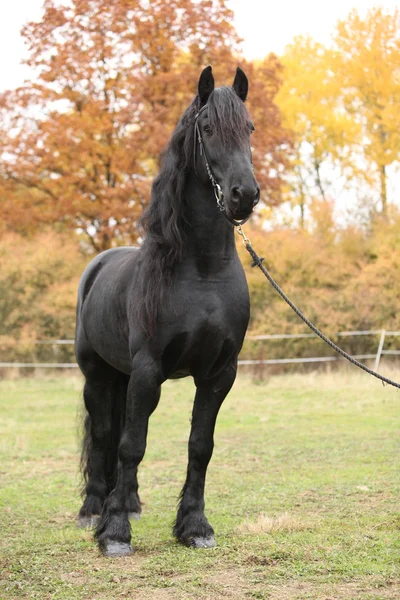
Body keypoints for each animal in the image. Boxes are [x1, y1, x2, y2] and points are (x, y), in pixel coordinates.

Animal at [76, 63, 260, 556]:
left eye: (249, 128)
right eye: (208, 127)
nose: (245, 194)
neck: (203, 272)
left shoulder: (219, 373)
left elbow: (200, 445)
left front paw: (194, 526)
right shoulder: (147, 369)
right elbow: (131, 445)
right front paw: (115, 533)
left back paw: (129, 502)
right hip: (98, 374)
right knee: (105, 434)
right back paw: (94, 510)